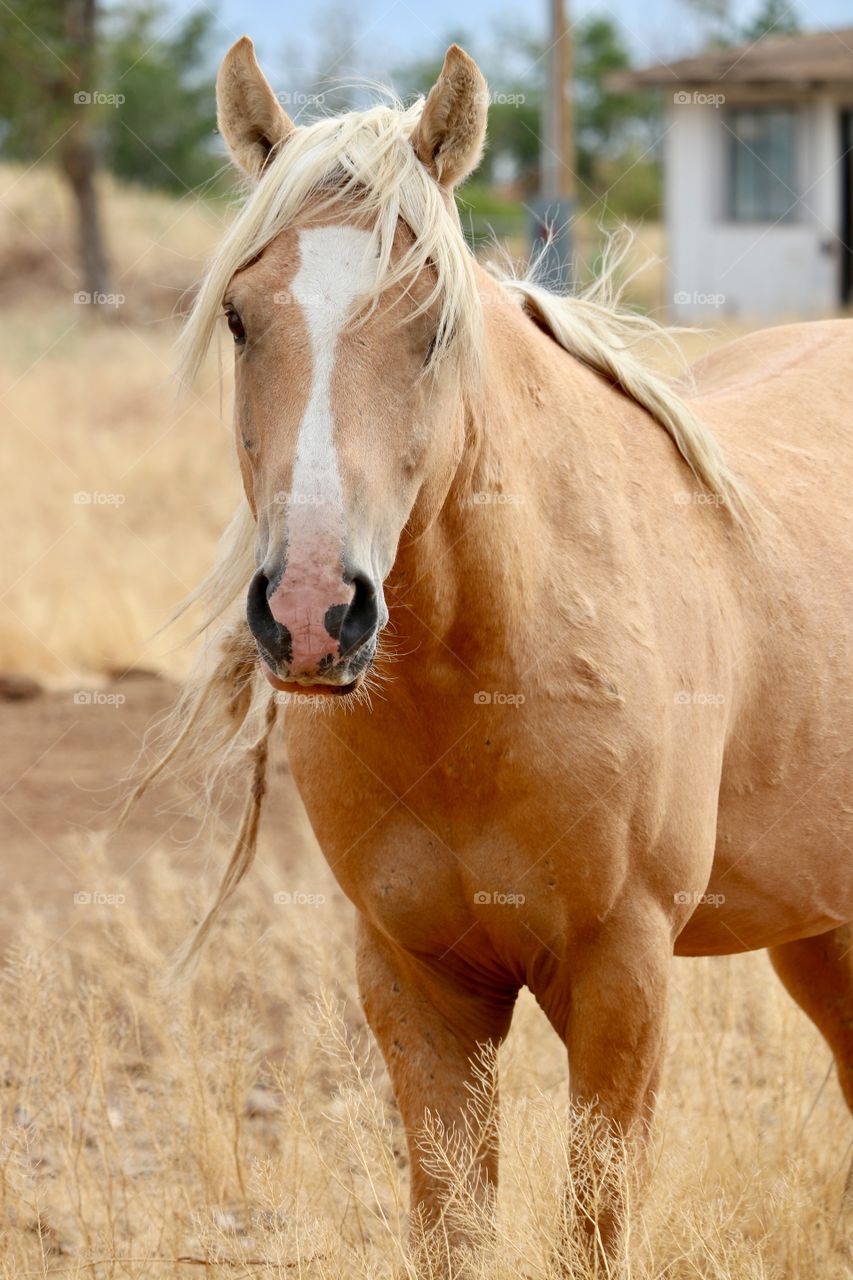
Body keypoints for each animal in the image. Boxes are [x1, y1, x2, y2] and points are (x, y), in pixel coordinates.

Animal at [162, 40, 845, 1269]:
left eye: (431, 321)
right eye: (239, 316)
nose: (312, 610)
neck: (476, 689)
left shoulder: (622, 976)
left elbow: (593, 1226)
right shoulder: (417, 984)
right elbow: (453, 1224)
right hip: (819, 931)